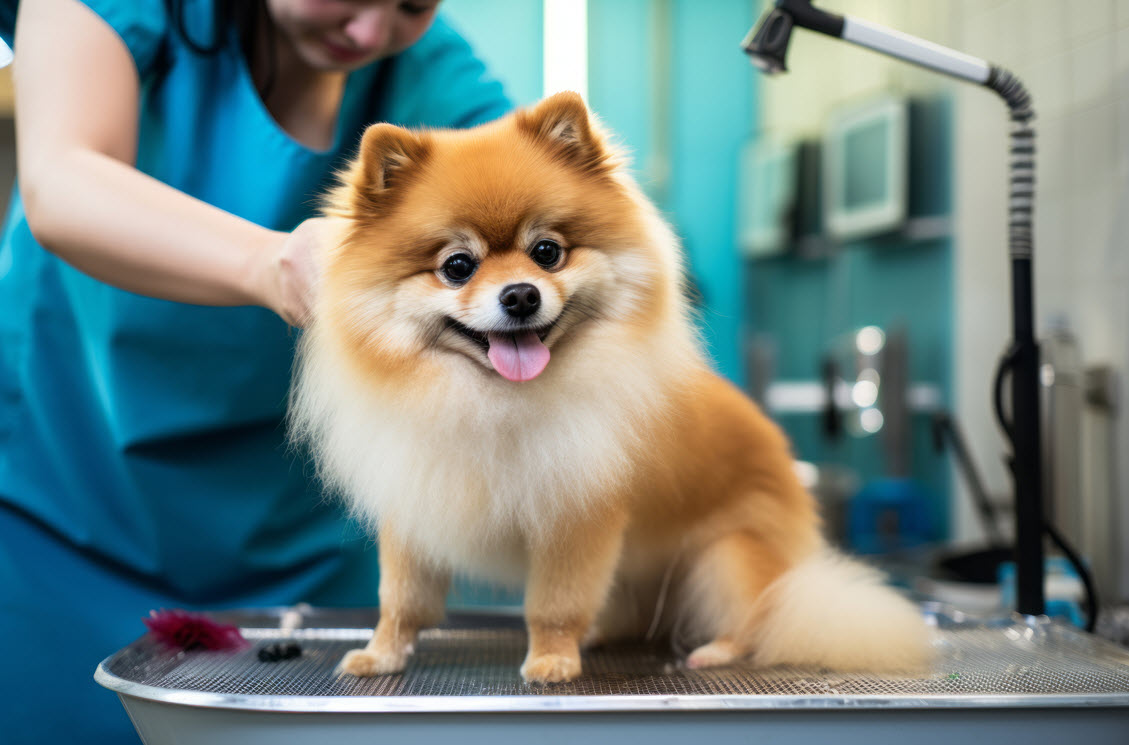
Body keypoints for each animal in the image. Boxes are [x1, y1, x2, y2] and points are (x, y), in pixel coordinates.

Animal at [293, 93, 934, 686]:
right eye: (457, 266)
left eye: (547, 252)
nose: (521, 294)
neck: (493, 401)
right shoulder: (416, 502)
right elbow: (400, 600)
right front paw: (381, 653)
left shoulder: (576, 517)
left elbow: (553, 603)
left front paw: (551, 659)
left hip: (727, 555)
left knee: (762, 615)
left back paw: (716, 648)